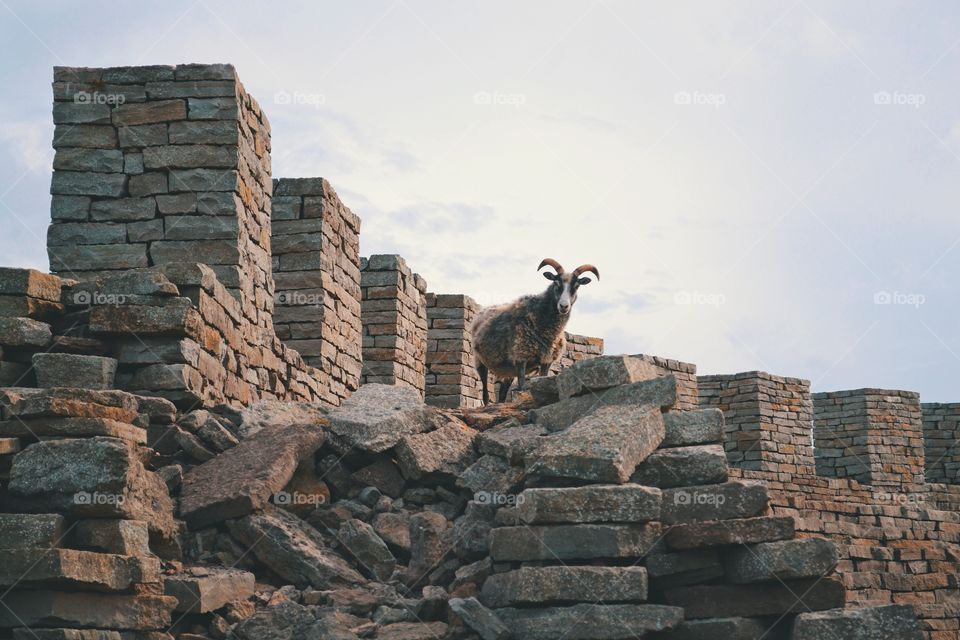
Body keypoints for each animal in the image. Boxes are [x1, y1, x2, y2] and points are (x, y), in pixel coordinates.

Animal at [468, 258, 596, 402]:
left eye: (577, 286)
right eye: (556, 283)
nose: (564, 306)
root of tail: (481, 312)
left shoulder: (546, 360)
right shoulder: (520, 356)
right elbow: (522, 388)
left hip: (508, 370)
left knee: (502, 394)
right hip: (480, 361)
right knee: (485, 393)